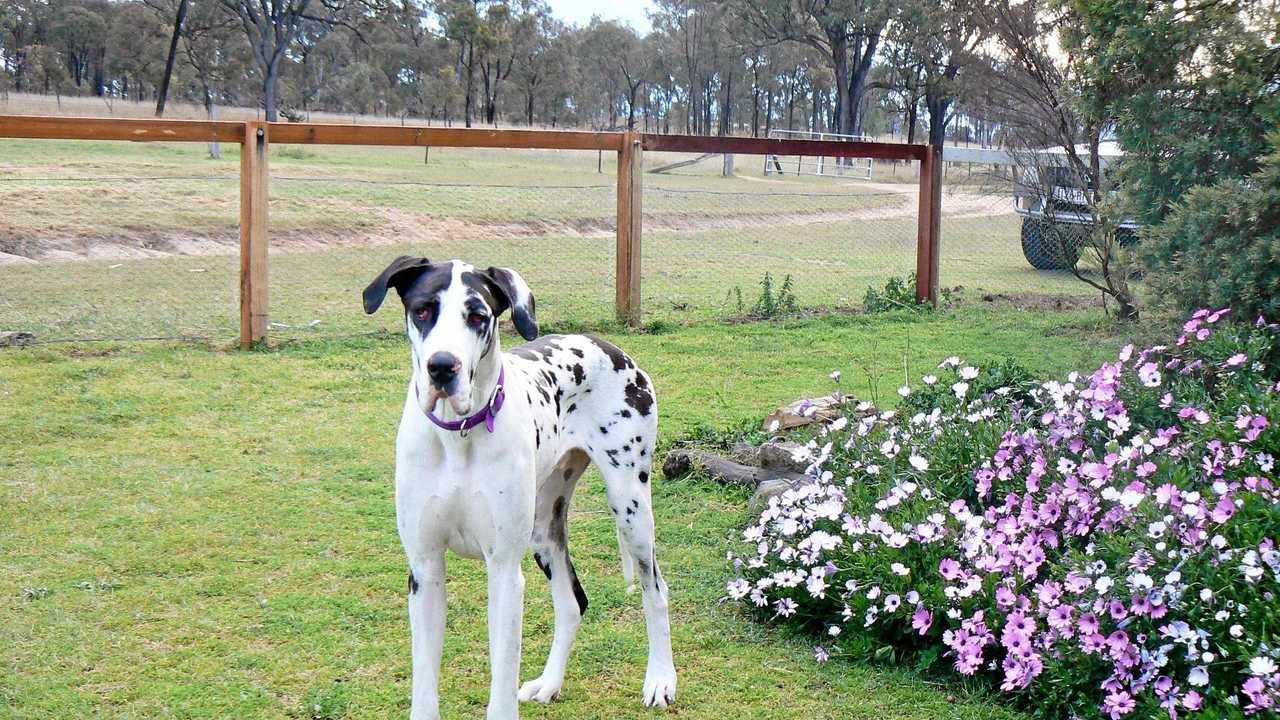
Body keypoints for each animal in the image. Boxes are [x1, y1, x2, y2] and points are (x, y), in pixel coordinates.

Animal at [363, 256, 680, 717]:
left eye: (478, 316)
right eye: (423, 310)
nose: (442, 366)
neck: (458, 434)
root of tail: (608, 346)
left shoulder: (504, 573)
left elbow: (501, 678)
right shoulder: (424, 569)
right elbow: (424, 685)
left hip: (631, 507)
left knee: (655, 590)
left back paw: (660, 679)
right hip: (543, 527)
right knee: (572, 603)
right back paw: (549, 683)